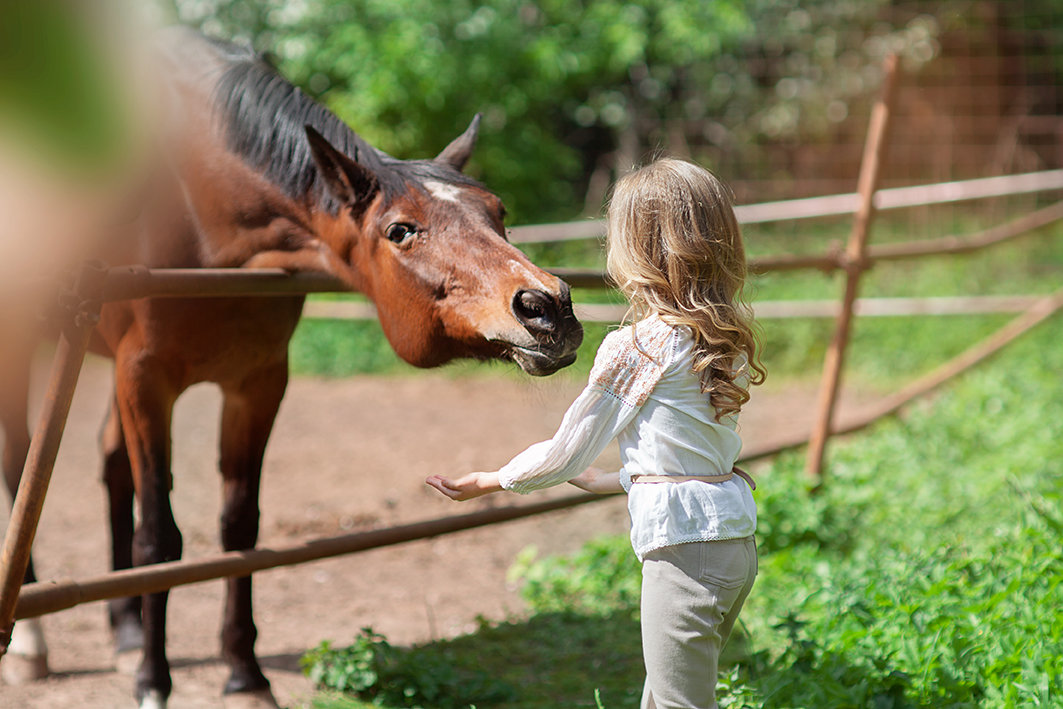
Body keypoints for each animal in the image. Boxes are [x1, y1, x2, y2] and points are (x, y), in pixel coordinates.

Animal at [0, 27, 582, 709]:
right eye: (400, 230)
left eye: (498, 210)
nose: (548, 307)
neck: (194, 199)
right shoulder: (145, 379)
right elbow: (160, 536)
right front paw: (153, 683)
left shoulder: (257, 382)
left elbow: (239, 529)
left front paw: (244, 677)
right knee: (20, 470)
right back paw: (32, 646)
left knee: (111, 464)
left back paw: (123, 631)